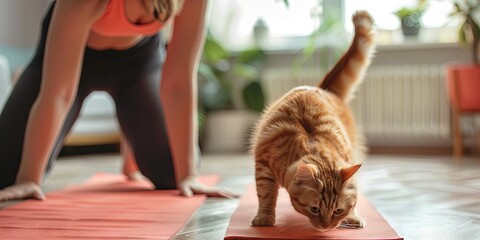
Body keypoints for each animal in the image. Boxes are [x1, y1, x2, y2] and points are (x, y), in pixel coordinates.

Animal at [249, 10, 376, 231]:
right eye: (314, 209)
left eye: (338, 211)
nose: (327, 227)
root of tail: (322, 88)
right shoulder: (263, 168)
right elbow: (266, 196)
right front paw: (264, 217)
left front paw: (353, 217)